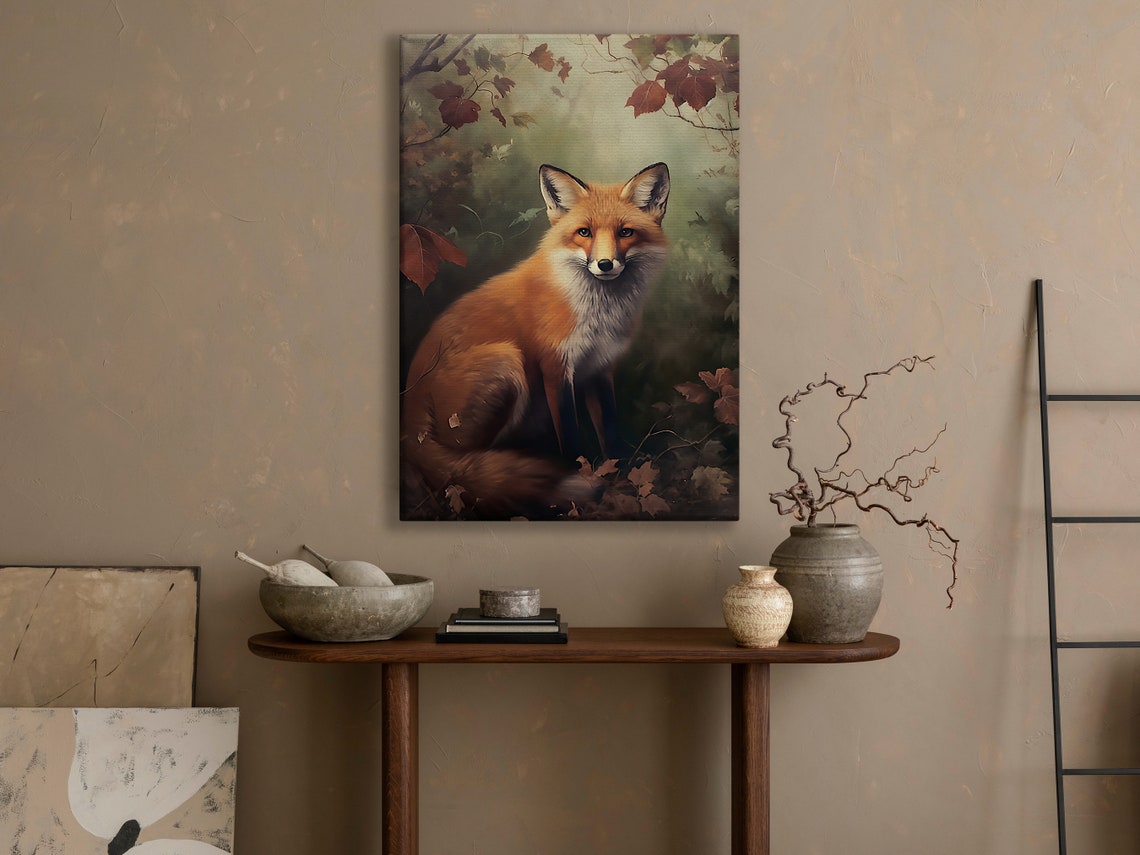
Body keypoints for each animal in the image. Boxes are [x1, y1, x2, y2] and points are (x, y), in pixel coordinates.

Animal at [401, 161, 671, 517]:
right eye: (584, 232)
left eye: (625, 232)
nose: (604, 264)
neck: (598, 314)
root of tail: (410, 414)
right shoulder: (555, 368)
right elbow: (570, 438)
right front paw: (580, 483)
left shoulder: (600, 369)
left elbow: (610, 432)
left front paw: (621, 478)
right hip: (506, 362)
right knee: (465, 468)